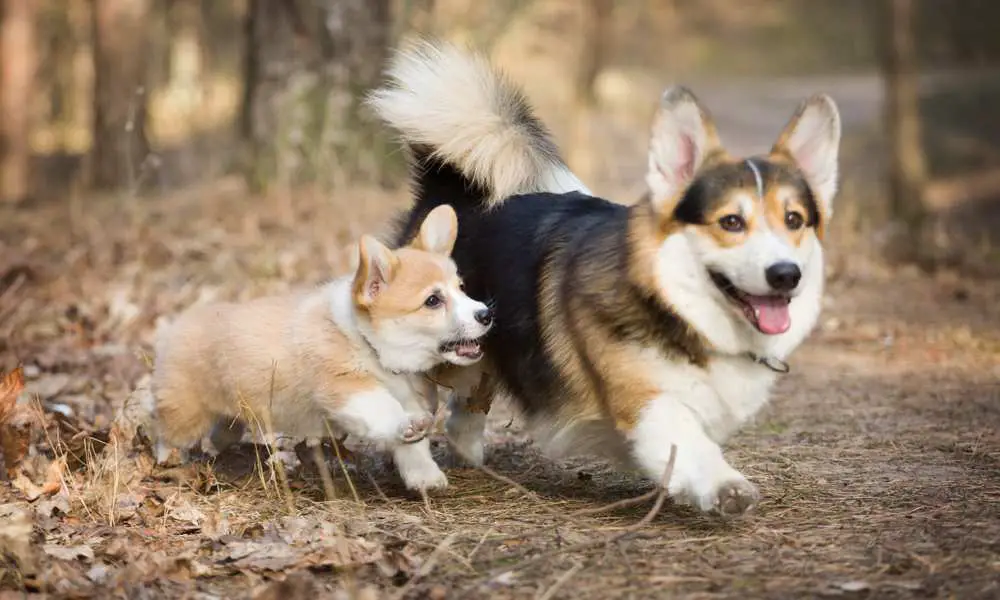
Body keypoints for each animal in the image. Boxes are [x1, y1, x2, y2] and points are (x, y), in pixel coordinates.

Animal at [148, 205, 492, 492]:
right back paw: (170, 461)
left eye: (462, 288)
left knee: (223, 429)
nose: (486, 314)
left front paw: (424, 476)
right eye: (433, 301)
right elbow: (384, 410)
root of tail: (180, 322)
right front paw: (408, 428)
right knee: (169, 433)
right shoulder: (345, 387)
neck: (370, 346)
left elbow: (412, 444)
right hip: (185, 412)